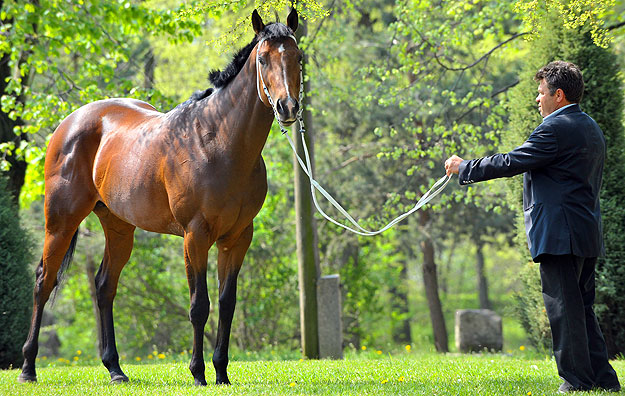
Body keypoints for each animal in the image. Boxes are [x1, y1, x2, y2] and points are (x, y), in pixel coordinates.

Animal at [18, 10, 302, 386]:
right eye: (262, 59)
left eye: (298, 57)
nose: (287, 107)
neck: (218, 142)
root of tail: (70, 122)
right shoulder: (196, 236)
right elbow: (200, 305)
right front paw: (198, 374)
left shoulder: (238, 237)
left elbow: (227, 303)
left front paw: (222, 373)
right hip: (60, 222)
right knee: (43, 282)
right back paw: (28, 368)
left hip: (119, 227)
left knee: (104, 286)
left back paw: (115, 369)